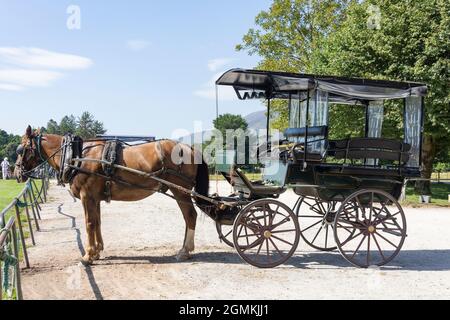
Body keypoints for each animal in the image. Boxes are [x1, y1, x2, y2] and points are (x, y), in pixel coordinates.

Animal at [14, 125, 210, 264]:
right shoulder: (95, 198)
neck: (77, 156)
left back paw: (185, 250)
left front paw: (88, 255)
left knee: (190, 216)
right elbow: (97, 222)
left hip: (180, 190)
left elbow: (89, 223)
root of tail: (189, 147)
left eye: (20, 149)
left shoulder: (87, 196)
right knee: (188, 217)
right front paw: (97, 250)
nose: (16, 173)